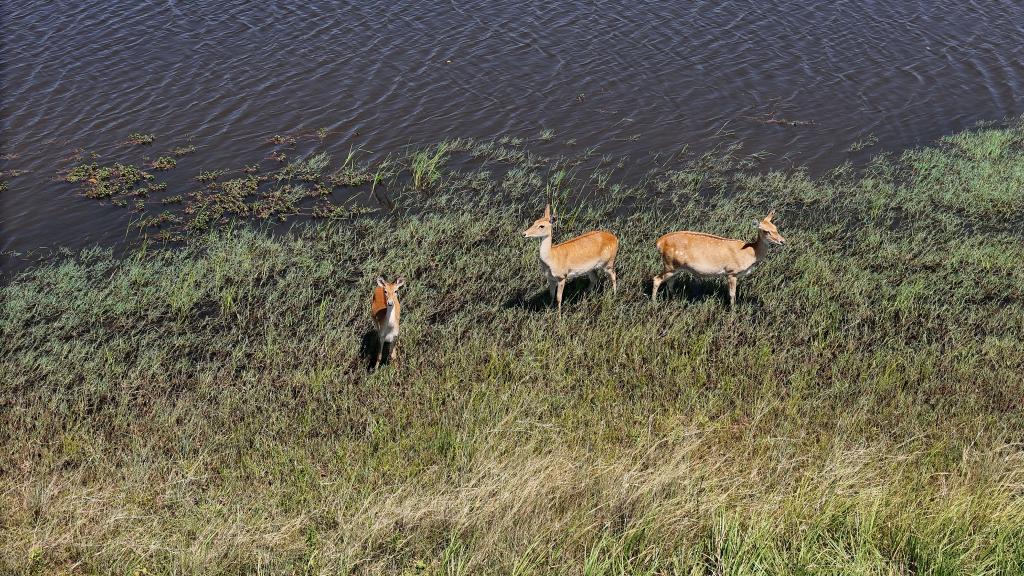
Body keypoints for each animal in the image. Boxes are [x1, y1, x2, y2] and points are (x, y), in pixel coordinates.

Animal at [651, 210, 786, 305]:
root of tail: (659, 243)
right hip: (670, 264)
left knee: (670, 281)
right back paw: (654, 302)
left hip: (676, 267)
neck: (750, 253)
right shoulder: (731, 272)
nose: (783, 241)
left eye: (776, 228)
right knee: (656, 279)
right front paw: (732, 309)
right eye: (766, 231)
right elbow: (732, 294)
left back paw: (673, 298)